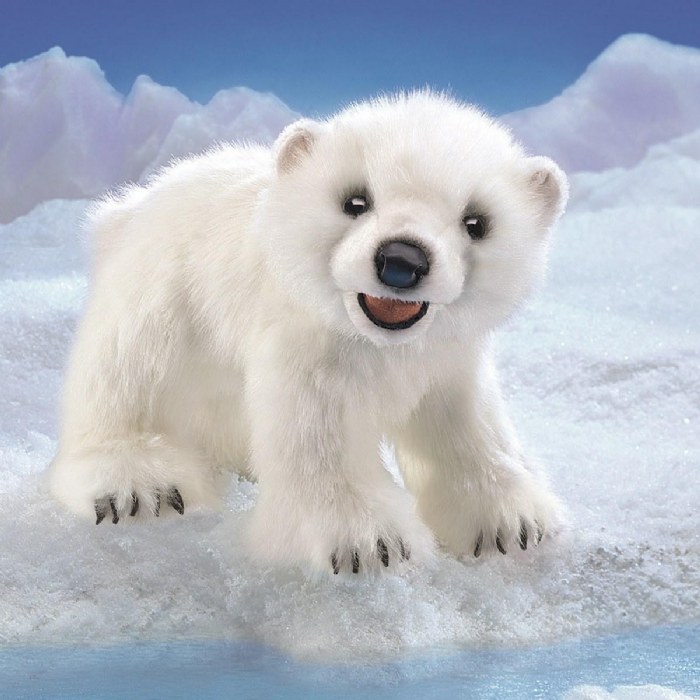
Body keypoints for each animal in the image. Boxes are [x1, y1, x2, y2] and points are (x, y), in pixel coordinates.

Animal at [49, 91, 568, 575]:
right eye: (355, 201)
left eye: (476, 222)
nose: (402, 259)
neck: (381, 344)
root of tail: (127, 207)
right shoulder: (311, 350)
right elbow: (319, 437)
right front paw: (369, 544)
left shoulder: (448, 358)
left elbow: (467, 423)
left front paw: (512, 524)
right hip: (165, 290)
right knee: (128, 371)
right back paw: (141, 486)